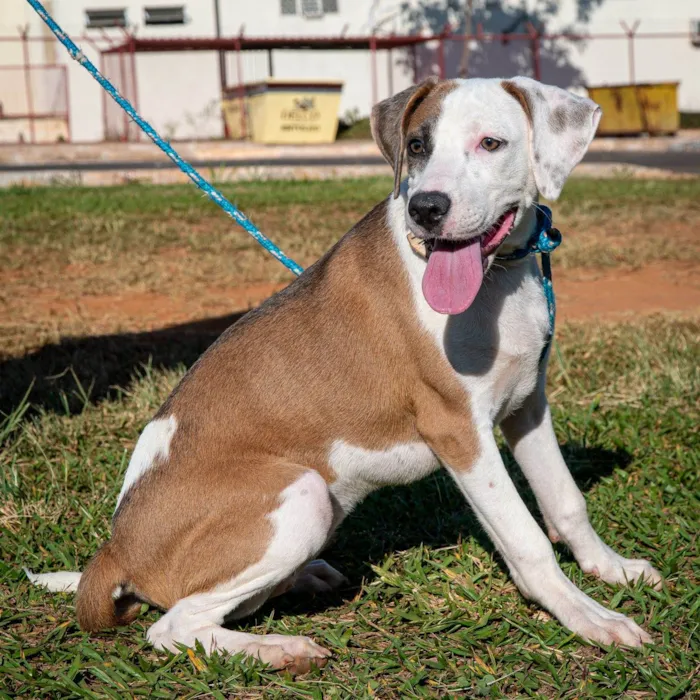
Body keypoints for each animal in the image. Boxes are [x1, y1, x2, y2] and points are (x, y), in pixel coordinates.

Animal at [27, 76, 660, 672]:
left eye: (491, 143)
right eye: (417, 145)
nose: (425, 209)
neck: (497, 280)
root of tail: (117, 549)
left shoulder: (527, 405)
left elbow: (566, 501)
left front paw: (611, 569)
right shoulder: (457, 428)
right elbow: (527, 539)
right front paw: (587, 616)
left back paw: (304, 580)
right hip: (301, 494)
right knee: (174, 626)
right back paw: (279, 649)